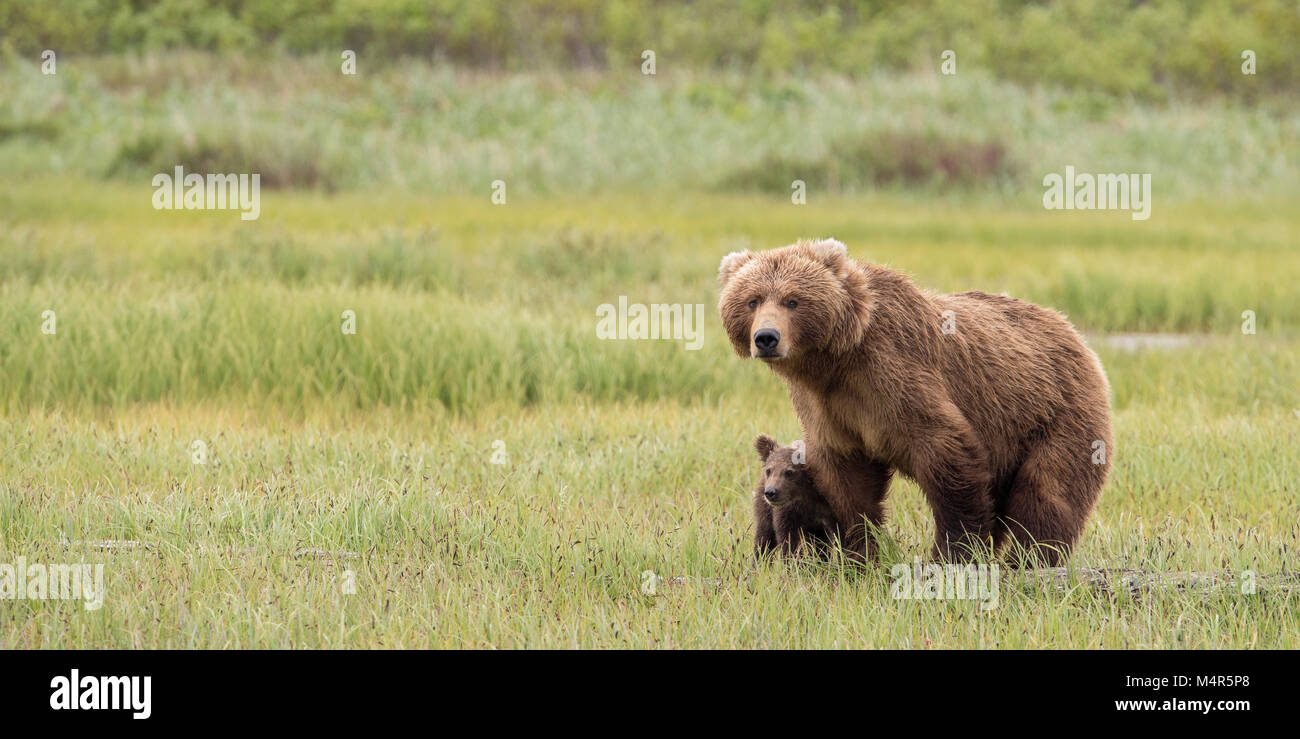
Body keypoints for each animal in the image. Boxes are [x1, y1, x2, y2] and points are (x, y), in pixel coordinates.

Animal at [717, 239, 1112, 562]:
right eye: (752, 300)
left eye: (793, 300)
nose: (766, 337)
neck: (838, 361)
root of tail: (1073, 332)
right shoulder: (826, 406)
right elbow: (849, 482)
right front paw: (861, 553)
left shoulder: (896, 377)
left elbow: (946, 453)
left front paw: (952, 554)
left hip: (1054, 413)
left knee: (1047, 493)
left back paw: (1030, 561)